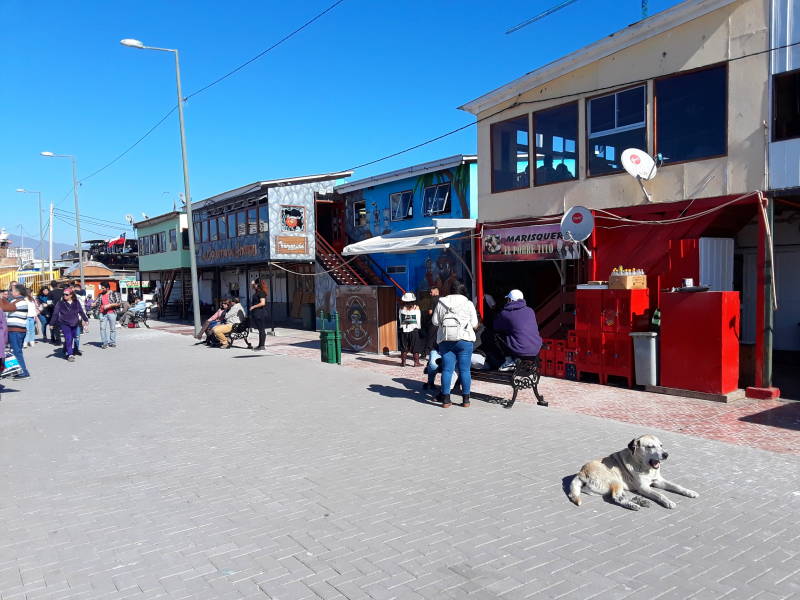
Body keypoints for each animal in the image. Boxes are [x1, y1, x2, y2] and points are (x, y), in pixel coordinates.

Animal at [564, 434, 696, 508]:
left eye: (661, 445)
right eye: (650, 447)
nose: (666, 455)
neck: (643, 466)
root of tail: (581, 472)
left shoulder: (658, 480)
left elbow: (677, 486)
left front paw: (690, 492)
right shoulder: (643, 487)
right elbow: (660, 494)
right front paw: (668, 502)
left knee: (621, 496)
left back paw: (639, 502)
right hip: (615, 480)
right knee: (616, 498)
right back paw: (633, 505)